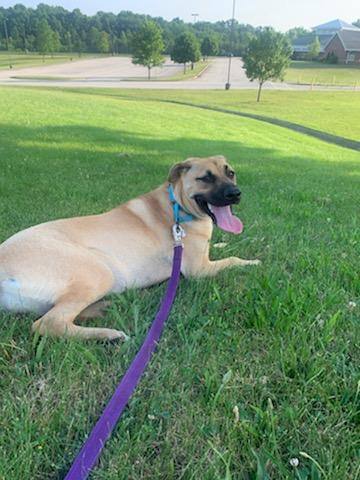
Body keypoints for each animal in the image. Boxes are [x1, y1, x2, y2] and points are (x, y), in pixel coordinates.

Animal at [0, 156, 258, 340]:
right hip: (98, 270)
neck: (178, 206)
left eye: (230, 173)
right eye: (205, 178)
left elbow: (222, 247)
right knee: (48, 323)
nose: (235, 193)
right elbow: (232, 260)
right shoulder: (199, 270)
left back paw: (106, 306)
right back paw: (108, 334)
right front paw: (252, 262)